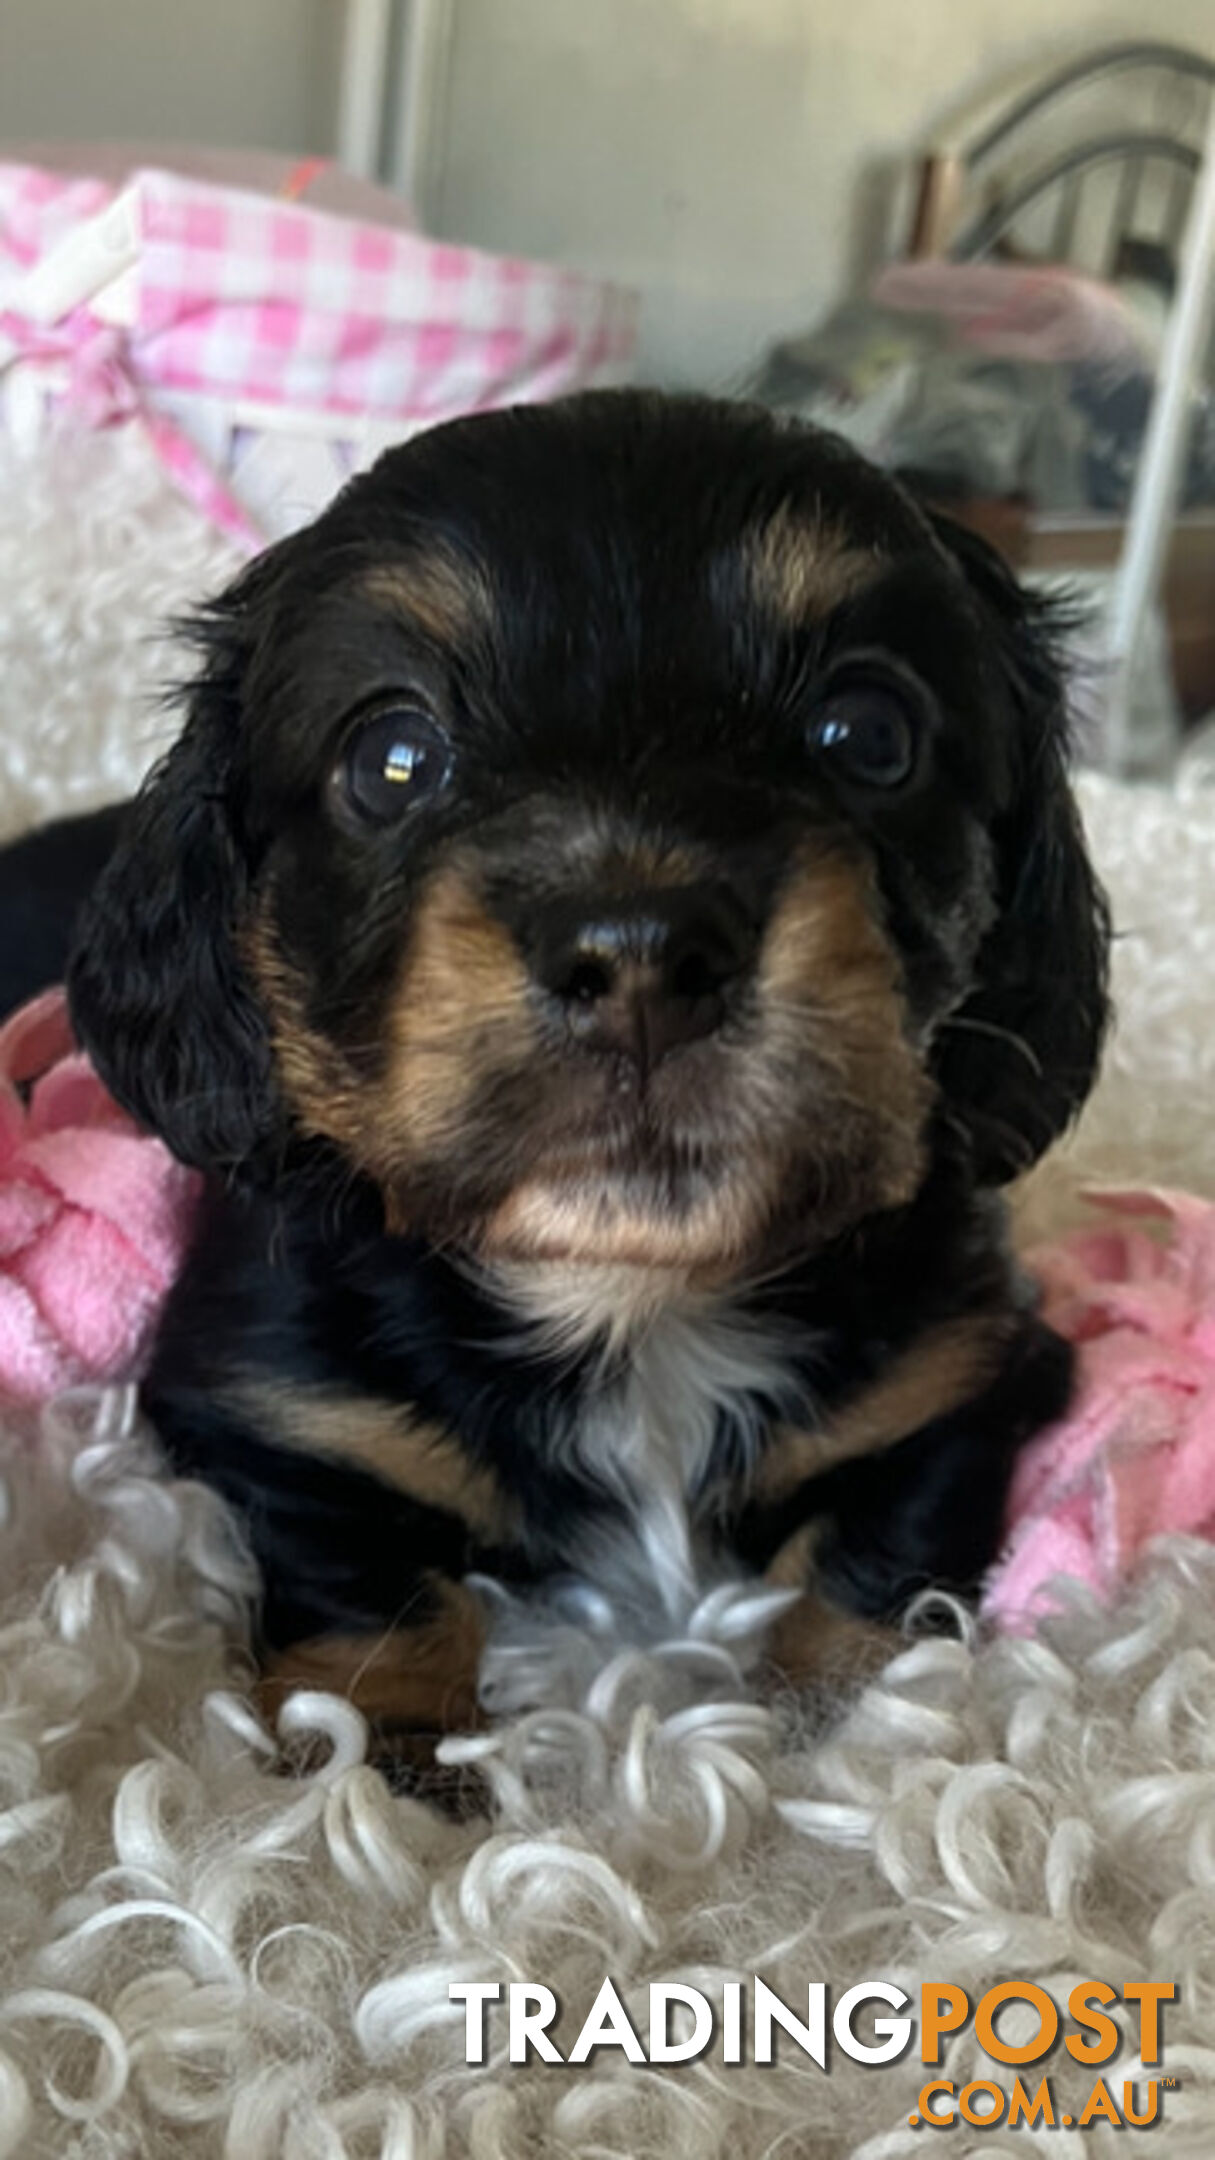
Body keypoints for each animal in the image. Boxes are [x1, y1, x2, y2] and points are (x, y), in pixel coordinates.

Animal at [23, 393, 1106, 1753]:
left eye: (869, 733)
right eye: (392, 756)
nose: (640, 956)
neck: (633, 1304)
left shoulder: (960, 1368)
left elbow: (880, 1562)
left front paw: (855, 1732)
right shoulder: (271, 1402)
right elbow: (363, 1594)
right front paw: (374, 1768)